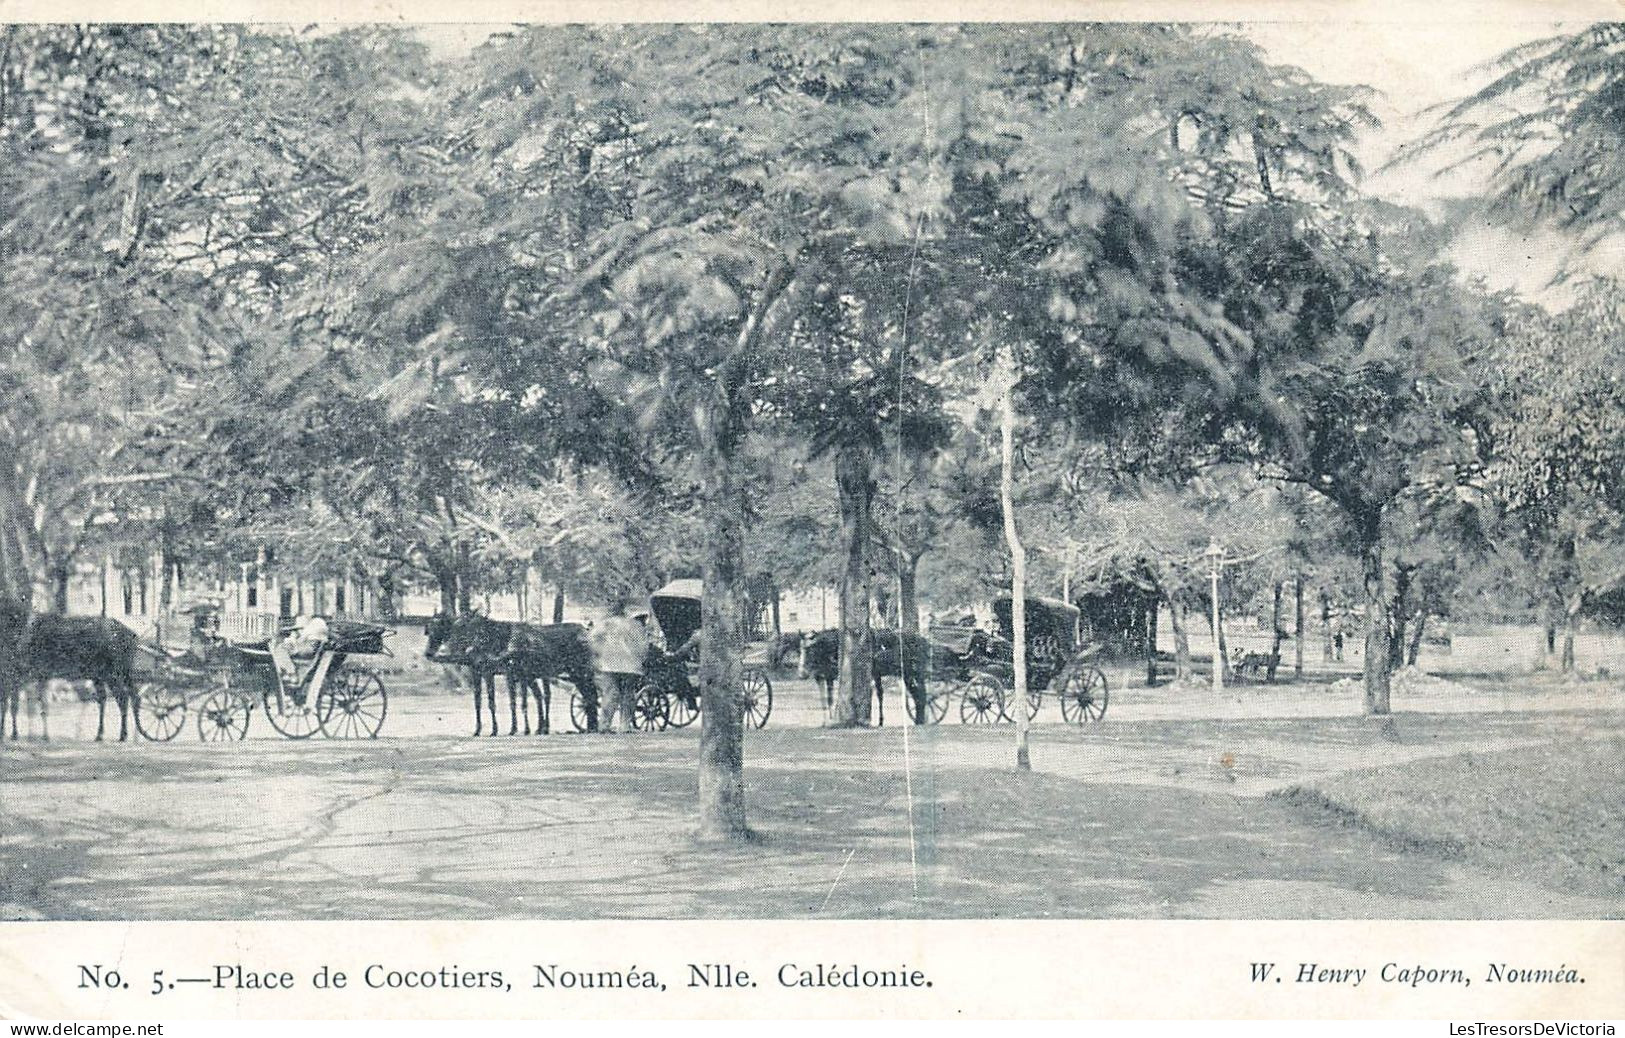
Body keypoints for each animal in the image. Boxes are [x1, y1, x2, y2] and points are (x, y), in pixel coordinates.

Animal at [1, 591, 141, 740]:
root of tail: (132, 635)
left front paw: (14, 734)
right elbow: (16, 705)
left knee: (123, 697)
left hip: (112, 673)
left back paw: (123, 734)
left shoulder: (18, 675)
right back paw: (102, 734)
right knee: (126, 696)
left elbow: (15, 706)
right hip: (110, 674)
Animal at [793, 630, 936, 727]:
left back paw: (919, 720)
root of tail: (924, 640)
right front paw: (826, 721)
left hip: (914, 674)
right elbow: (826, 700)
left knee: (921, 695)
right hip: (907, 675)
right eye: (799, 650)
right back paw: (918, 720)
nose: (801, 673)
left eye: (810, 648)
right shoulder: (825, 677)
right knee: (918, 695)